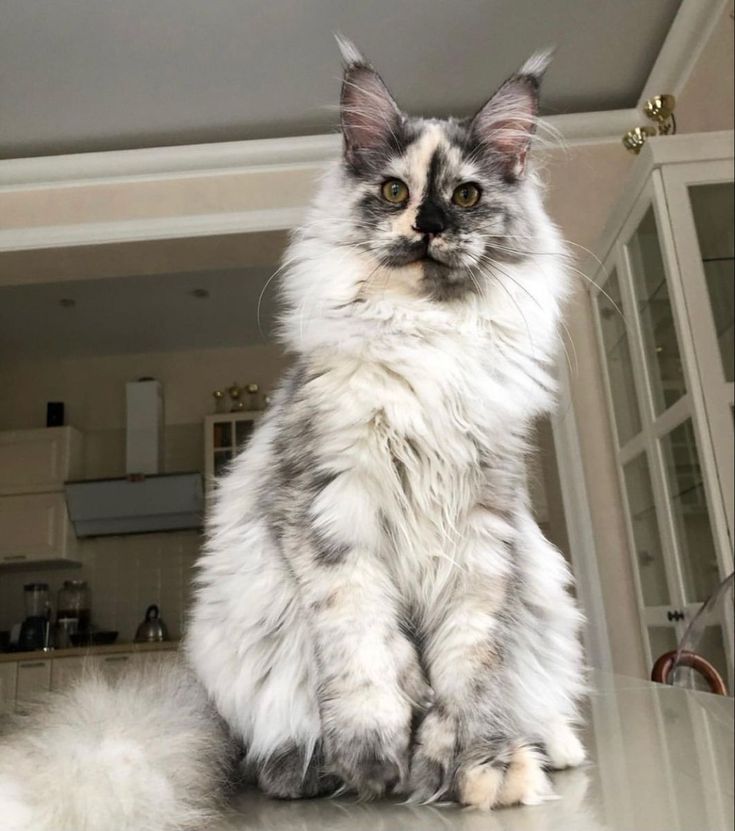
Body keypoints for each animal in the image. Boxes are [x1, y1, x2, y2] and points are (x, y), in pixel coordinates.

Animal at [0, 40, 588, 831]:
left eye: (465, 197)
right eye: (395, 192)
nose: (430, 225)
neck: (425, 345)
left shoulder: (482, 537)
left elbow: (470, 672)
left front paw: (481, 765)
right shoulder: (328, 513)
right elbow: (371, 651)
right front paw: (379, 751)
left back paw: (550, 744)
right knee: (272, 759)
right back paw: (322, 771)